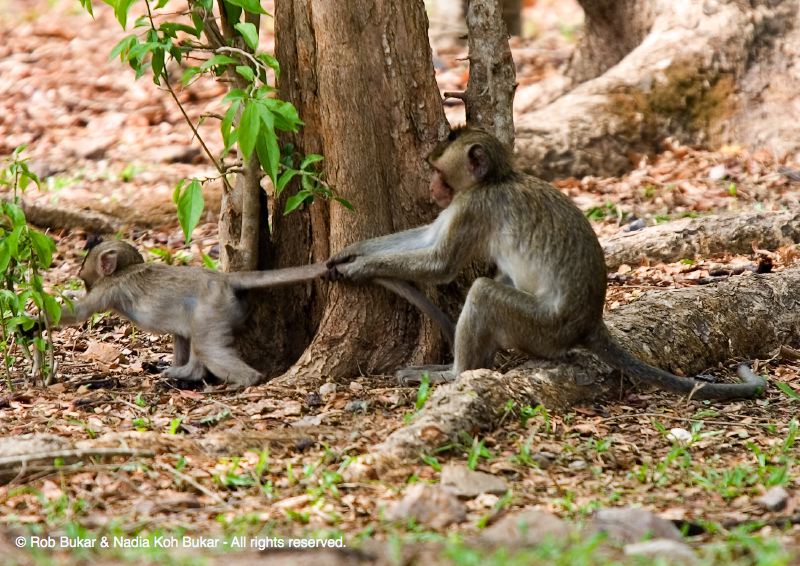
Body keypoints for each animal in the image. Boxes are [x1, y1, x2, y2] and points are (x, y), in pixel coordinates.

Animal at [56, 240, 454, 387]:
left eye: (85, 275)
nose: (81, 279)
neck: (125, 270)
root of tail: (225, 278)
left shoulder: (109, 290)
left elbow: (79, 314)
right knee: (189, 333)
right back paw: (186, 372)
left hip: (214, 308)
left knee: (206, 343)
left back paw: (244, 381)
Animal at [327, 126, 767, 400]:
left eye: (437, 170)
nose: (431, 186)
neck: (497, 179)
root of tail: (589, 323)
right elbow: (425, 239)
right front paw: (354, 250)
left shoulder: (474, 207)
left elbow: (440, 264)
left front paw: (361, 268)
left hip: (541, 329)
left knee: (484, 293)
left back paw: (455, 372)